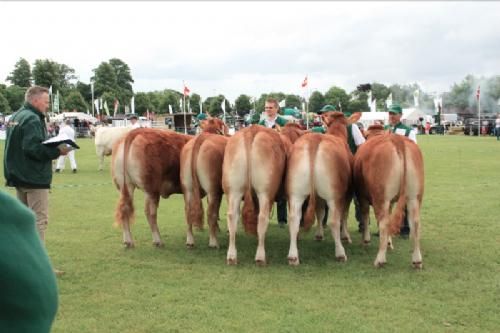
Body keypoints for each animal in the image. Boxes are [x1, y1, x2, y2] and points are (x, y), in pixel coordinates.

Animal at [181, 116, 229, 246]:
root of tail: (201, 138)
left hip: (187, 188)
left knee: (188, 211)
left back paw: (190, 240)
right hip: (212, 188)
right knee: (210, 212)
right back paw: (213, 242)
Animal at [222, 124, 288, 264]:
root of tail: (252, 130)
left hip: (234, 189)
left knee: (232, 216)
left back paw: (231, 256)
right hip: (265, 191)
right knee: (263, 217)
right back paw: (260, 257)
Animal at [286, 111, 356, 264]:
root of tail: (315, 139)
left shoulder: (318, 196)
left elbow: (319, 212)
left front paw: (319, 235)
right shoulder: (347, 193)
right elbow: (344, 214)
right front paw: (346, 236)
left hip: (296, 193)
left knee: (294, 219)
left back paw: (293, 256)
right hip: (333, 194)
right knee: (334, 220)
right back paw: (340, 253)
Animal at [354, 124, 424, 268]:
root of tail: (397, 139)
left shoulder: (362, 196)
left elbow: (365, 215)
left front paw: (366, 240)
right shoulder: (391, 201)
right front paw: (389, 242)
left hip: (381, 197)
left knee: (384, 222)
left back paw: (380, 260)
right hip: (414, 197)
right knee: (415, 223)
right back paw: (417, 260)